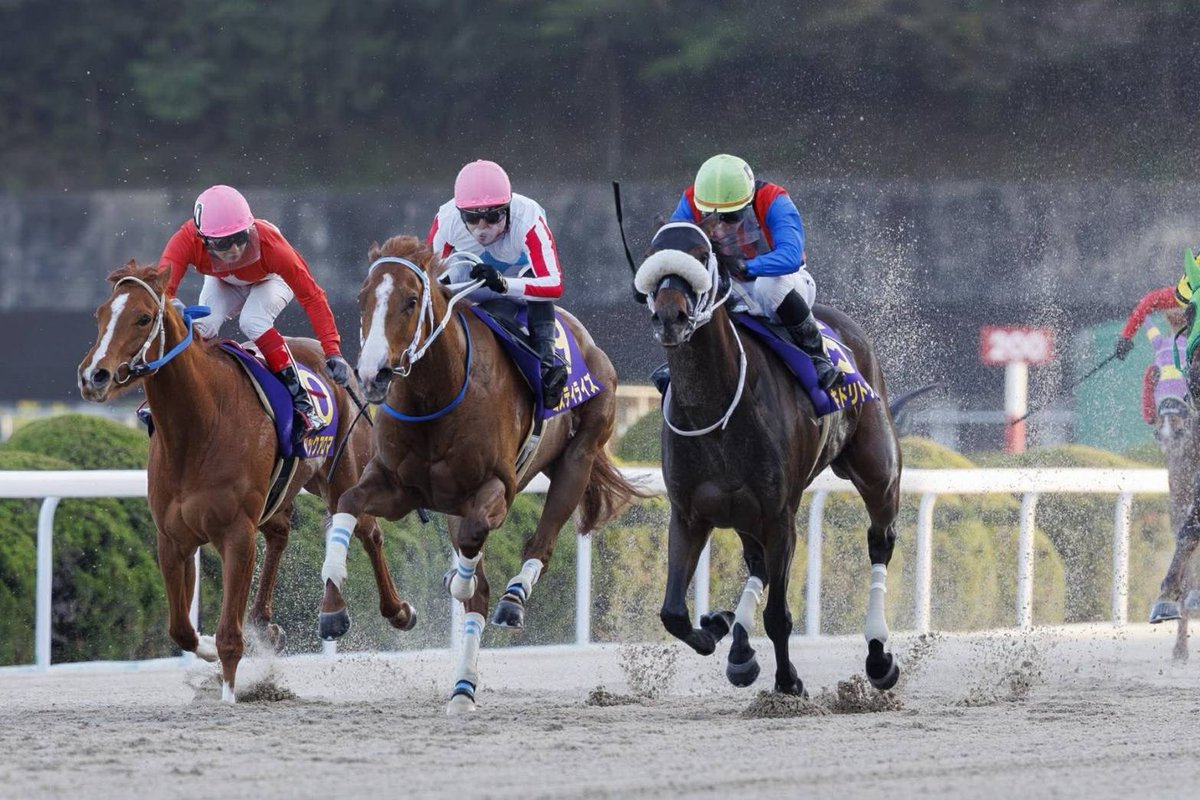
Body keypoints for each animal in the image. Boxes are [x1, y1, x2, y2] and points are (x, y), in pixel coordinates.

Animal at [77, 261, 413, 701]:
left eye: (143, 317)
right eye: (100, 314)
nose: (93, 376)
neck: (199, 428)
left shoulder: (236, 533)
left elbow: (229, 638)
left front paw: (228, 694)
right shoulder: (173, 538)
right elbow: (180, 628)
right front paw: (205, 648)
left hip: (341, 472)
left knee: (364, 528)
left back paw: (376, 611)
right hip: (287, 486)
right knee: (282, 533)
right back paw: (269, 621)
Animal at [317, 234, 646, 713]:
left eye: (411, 301)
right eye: (363, 298)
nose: (372, 373)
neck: (438, 395)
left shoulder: (496, 488)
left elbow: (475, 545)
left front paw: (459, 580)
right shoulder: (396, 486)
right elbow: (347, 504)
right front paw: (333, 604)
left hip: (579, 453)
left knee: (540, 541)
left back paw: (514, 596)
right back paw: (462, 690)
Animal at [634, 221, 901, 696]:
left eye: (701, 254)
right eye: (652, 256)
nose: (670, 316)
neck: (716, 409)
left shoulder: (780, 517)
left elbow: (778, 615)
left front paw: (788, 680)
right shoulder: (689, 514)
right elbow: (673, 614)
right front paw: (716, 627)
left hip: (877, 471)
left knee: (880, 541)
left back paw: (877, 655)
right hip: (741, 512)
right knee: (755, 563)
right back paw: (739, 647)